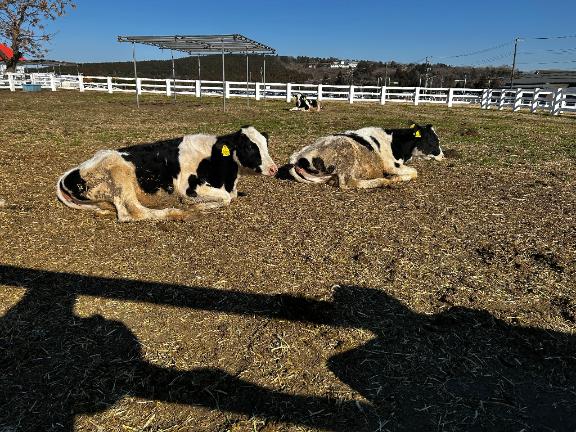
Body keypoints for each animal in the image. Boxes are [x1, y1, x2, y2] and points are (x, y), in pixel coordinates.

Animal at [57, 125, 278, 221]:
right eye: (249, 147)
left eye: (265, 144)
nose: (274, 168)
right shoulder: (188, 187)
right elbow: (225, 198)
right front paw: (195, 207)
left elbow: (230, 197)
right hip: (120, 174)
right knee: (132, 213)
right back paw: (175, 213)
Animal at [286, 122, 444, 188]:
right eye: (433, 140)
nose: (443, 156)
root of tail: (296, 158)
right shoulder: (391, 165)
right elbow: (414, 172)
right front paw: (395, 178)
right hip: (346, 153)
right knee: (347, 184)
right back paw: (383, 181)